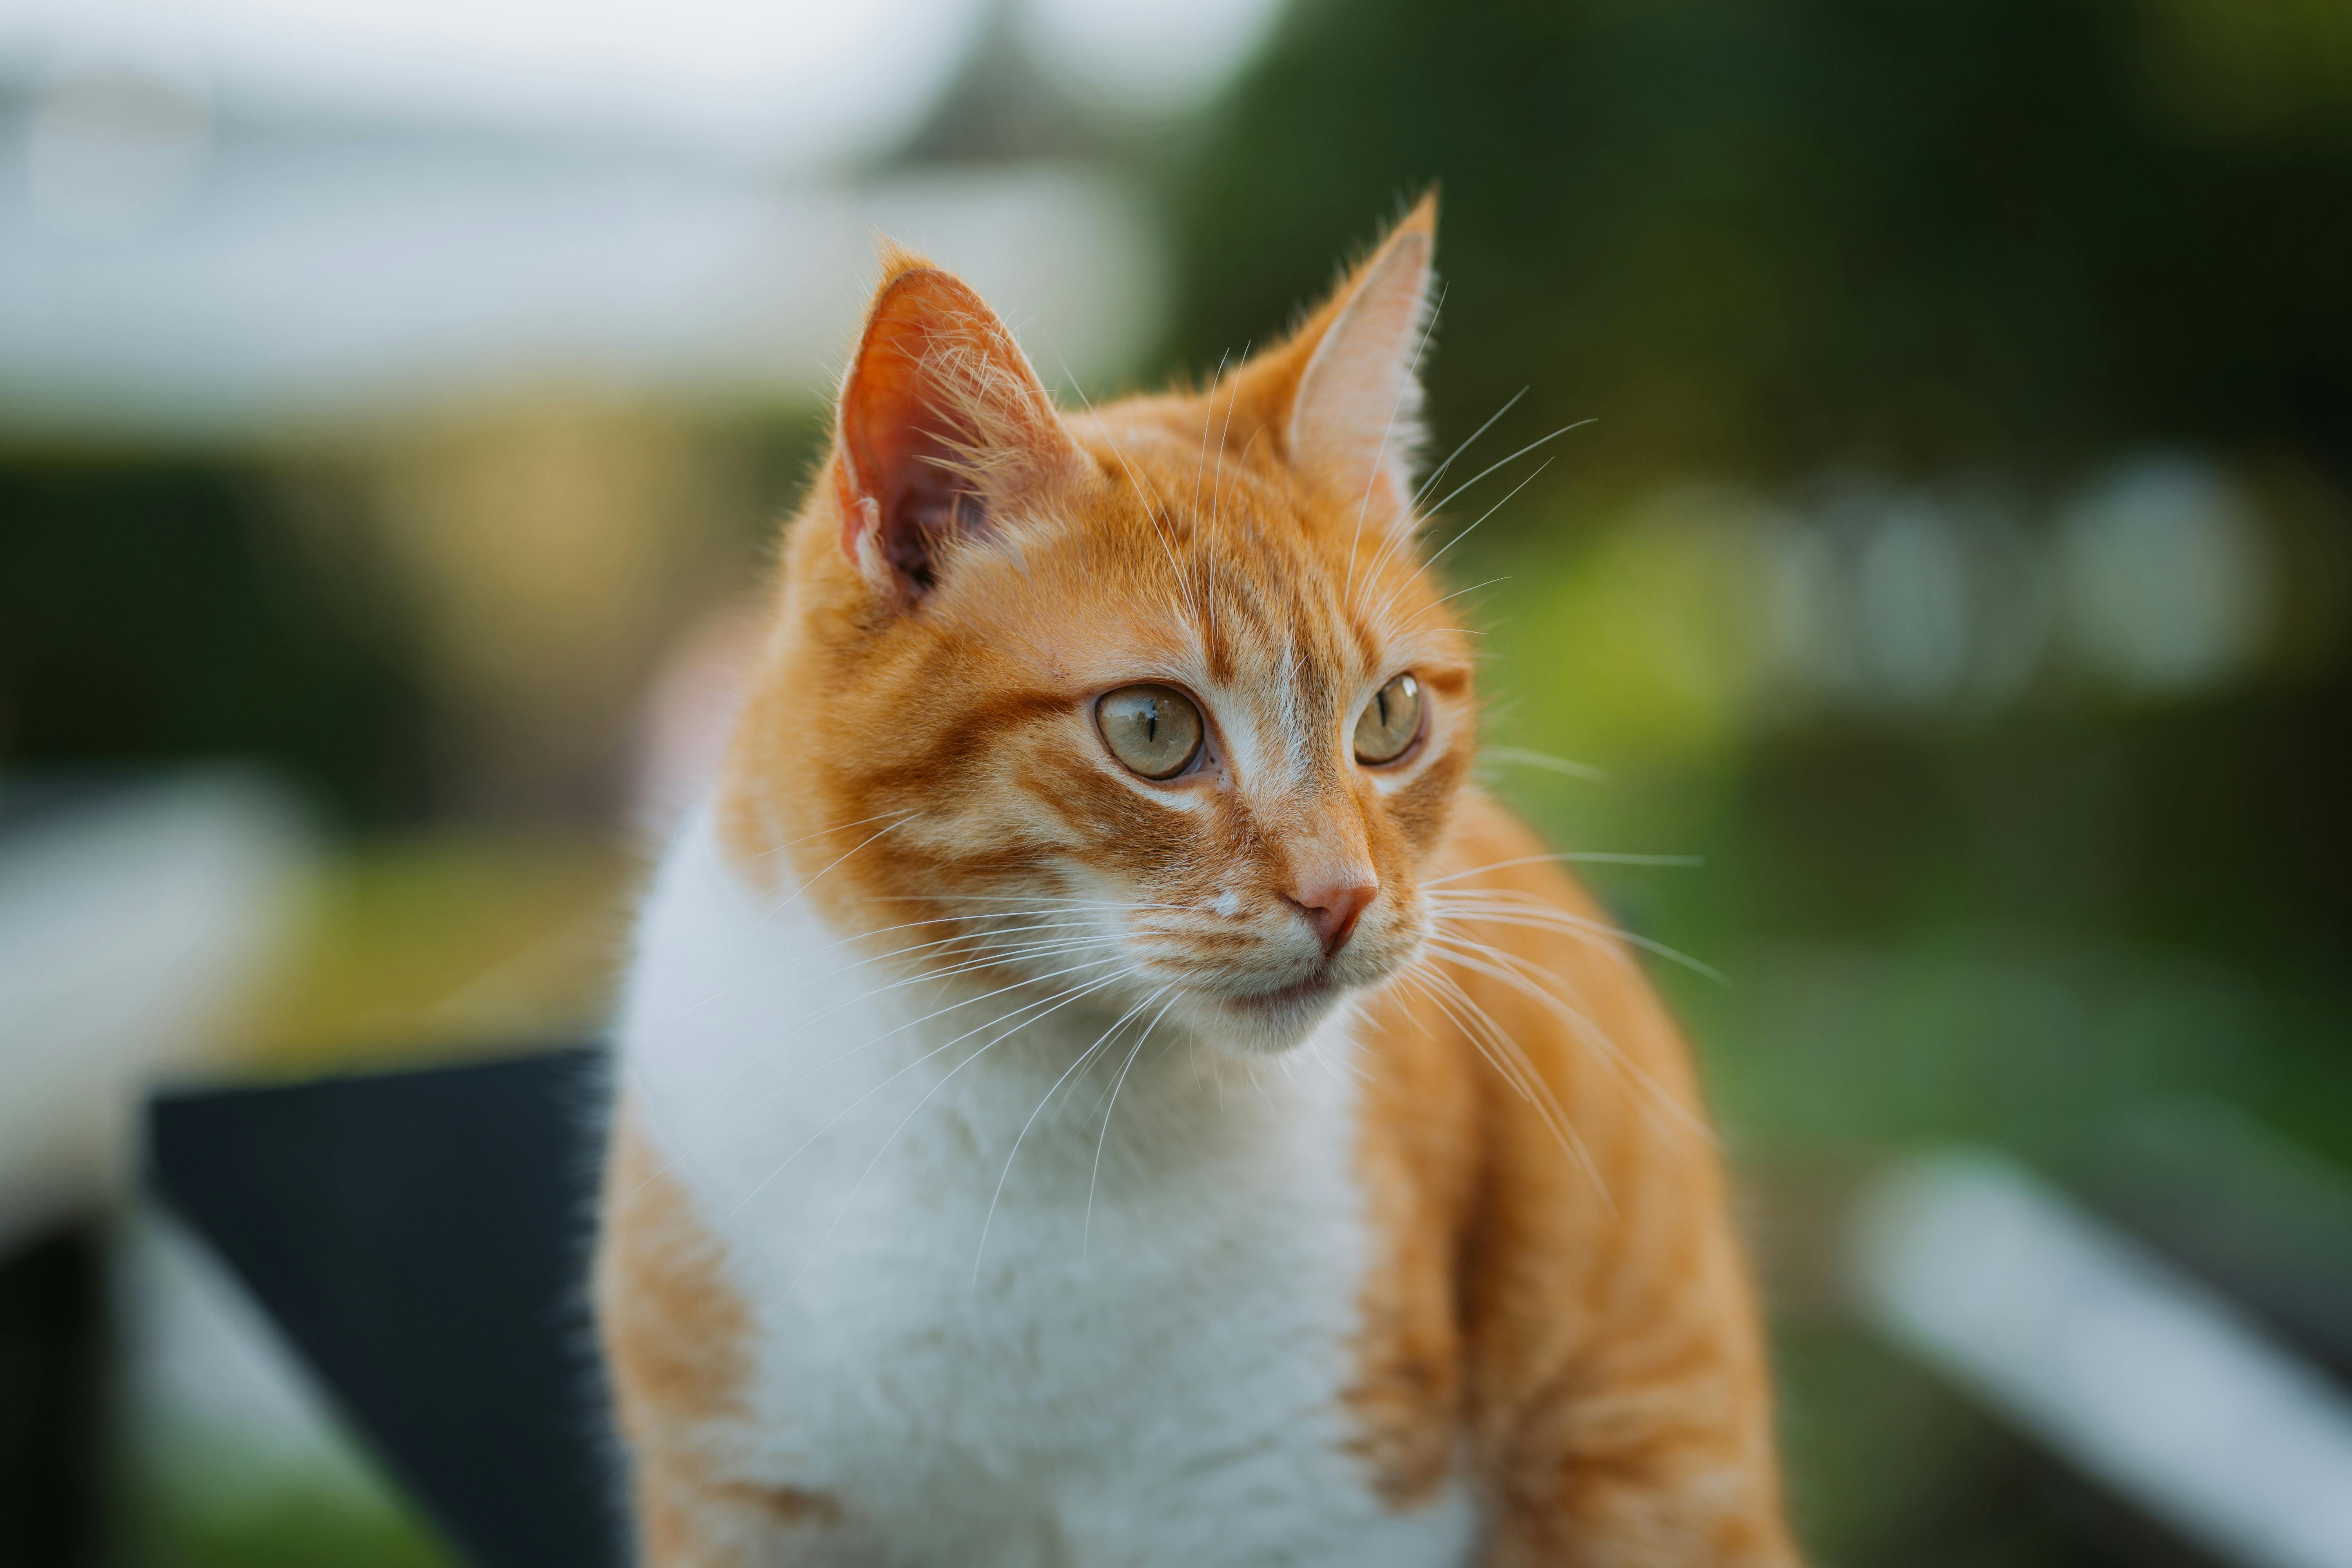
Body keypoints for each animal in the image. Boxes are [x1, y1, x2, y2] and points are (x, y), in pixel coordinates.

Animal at [593, 200, 1797, 1568]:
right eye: (1154, 730)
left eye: (1389, 718)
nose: (1341, 896)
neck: (1012, 1112)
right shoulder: (746, 1498)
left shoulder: (1296, 1502)